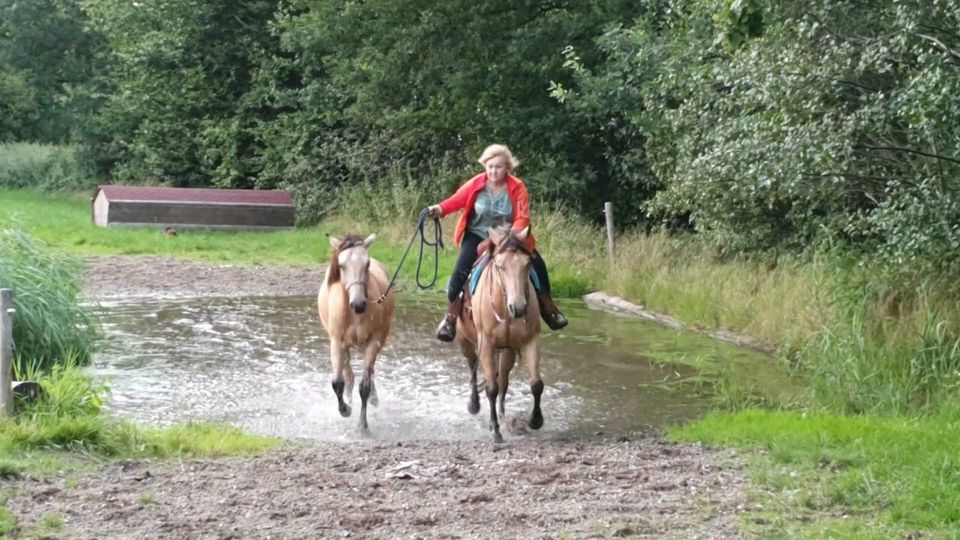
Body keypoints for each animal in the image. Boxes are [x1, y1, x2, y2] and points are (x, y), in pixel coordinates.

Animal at [316, 233, 394, 434]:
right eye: (342, 265)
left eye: (367, 264)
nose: (359, 304)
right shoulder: (337, 342)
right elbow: (338, 382)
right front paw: (345, 410)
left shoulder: (374, 341)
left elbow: (364, 386)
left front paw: (362, 425)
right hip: (345, 347)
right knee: (348, 376)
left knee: (369, 373)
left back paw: (373, 398)